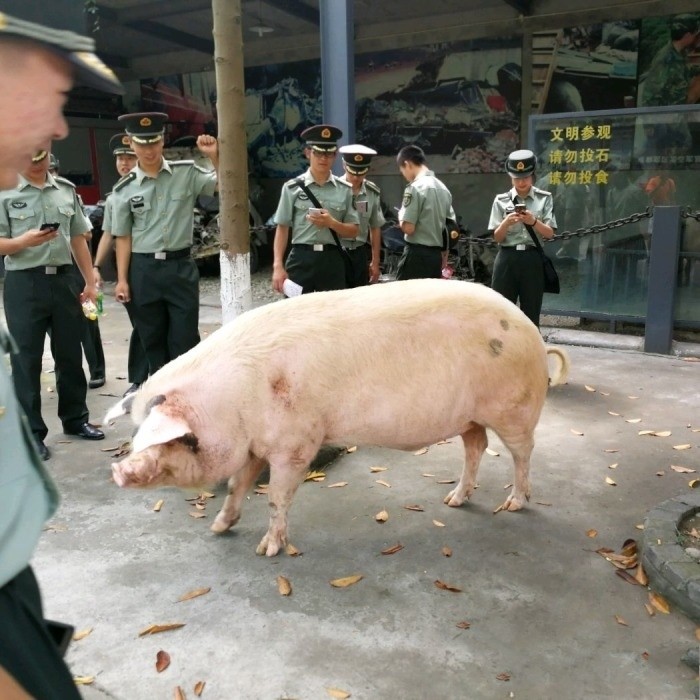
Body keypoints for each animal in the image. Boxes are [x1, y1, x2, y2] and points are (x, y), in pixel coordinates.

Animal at [108, 278, 568, 556]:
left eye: (182, 439)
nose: (119, 470)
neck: (234, 398)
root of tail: (531, 329)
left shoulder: (297, 443)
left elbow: (276, 496)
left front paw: (266, 550)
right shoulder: (256, 444)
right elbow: (239, 485)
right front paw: (219, 528)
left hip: (514, 407)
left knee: (522, 451)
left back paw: (513, 504)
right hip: (469, 416)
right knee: (476, 445)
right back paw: (453, 501)